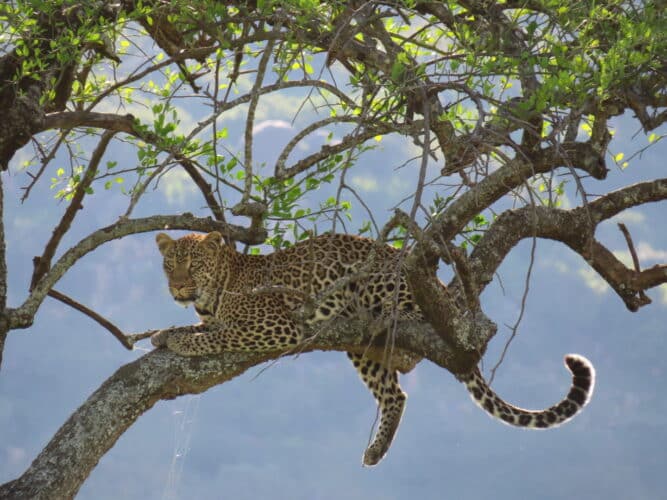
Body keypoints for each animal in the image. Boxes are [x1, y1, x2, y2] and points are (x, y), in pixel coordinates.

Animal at [152, 231, 595, 466]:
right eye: (169, 265)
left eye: (193, 265)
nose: (177, 286)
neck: (213, 294)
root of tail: (451, 303)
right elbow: (197, 326)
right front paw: (162, 332)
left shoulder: (276, 326)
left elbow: (216, 335)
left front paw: (178, 340)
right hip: (361, 348)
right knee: (395, 394)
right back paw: (377, 448)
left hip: (378, 289)